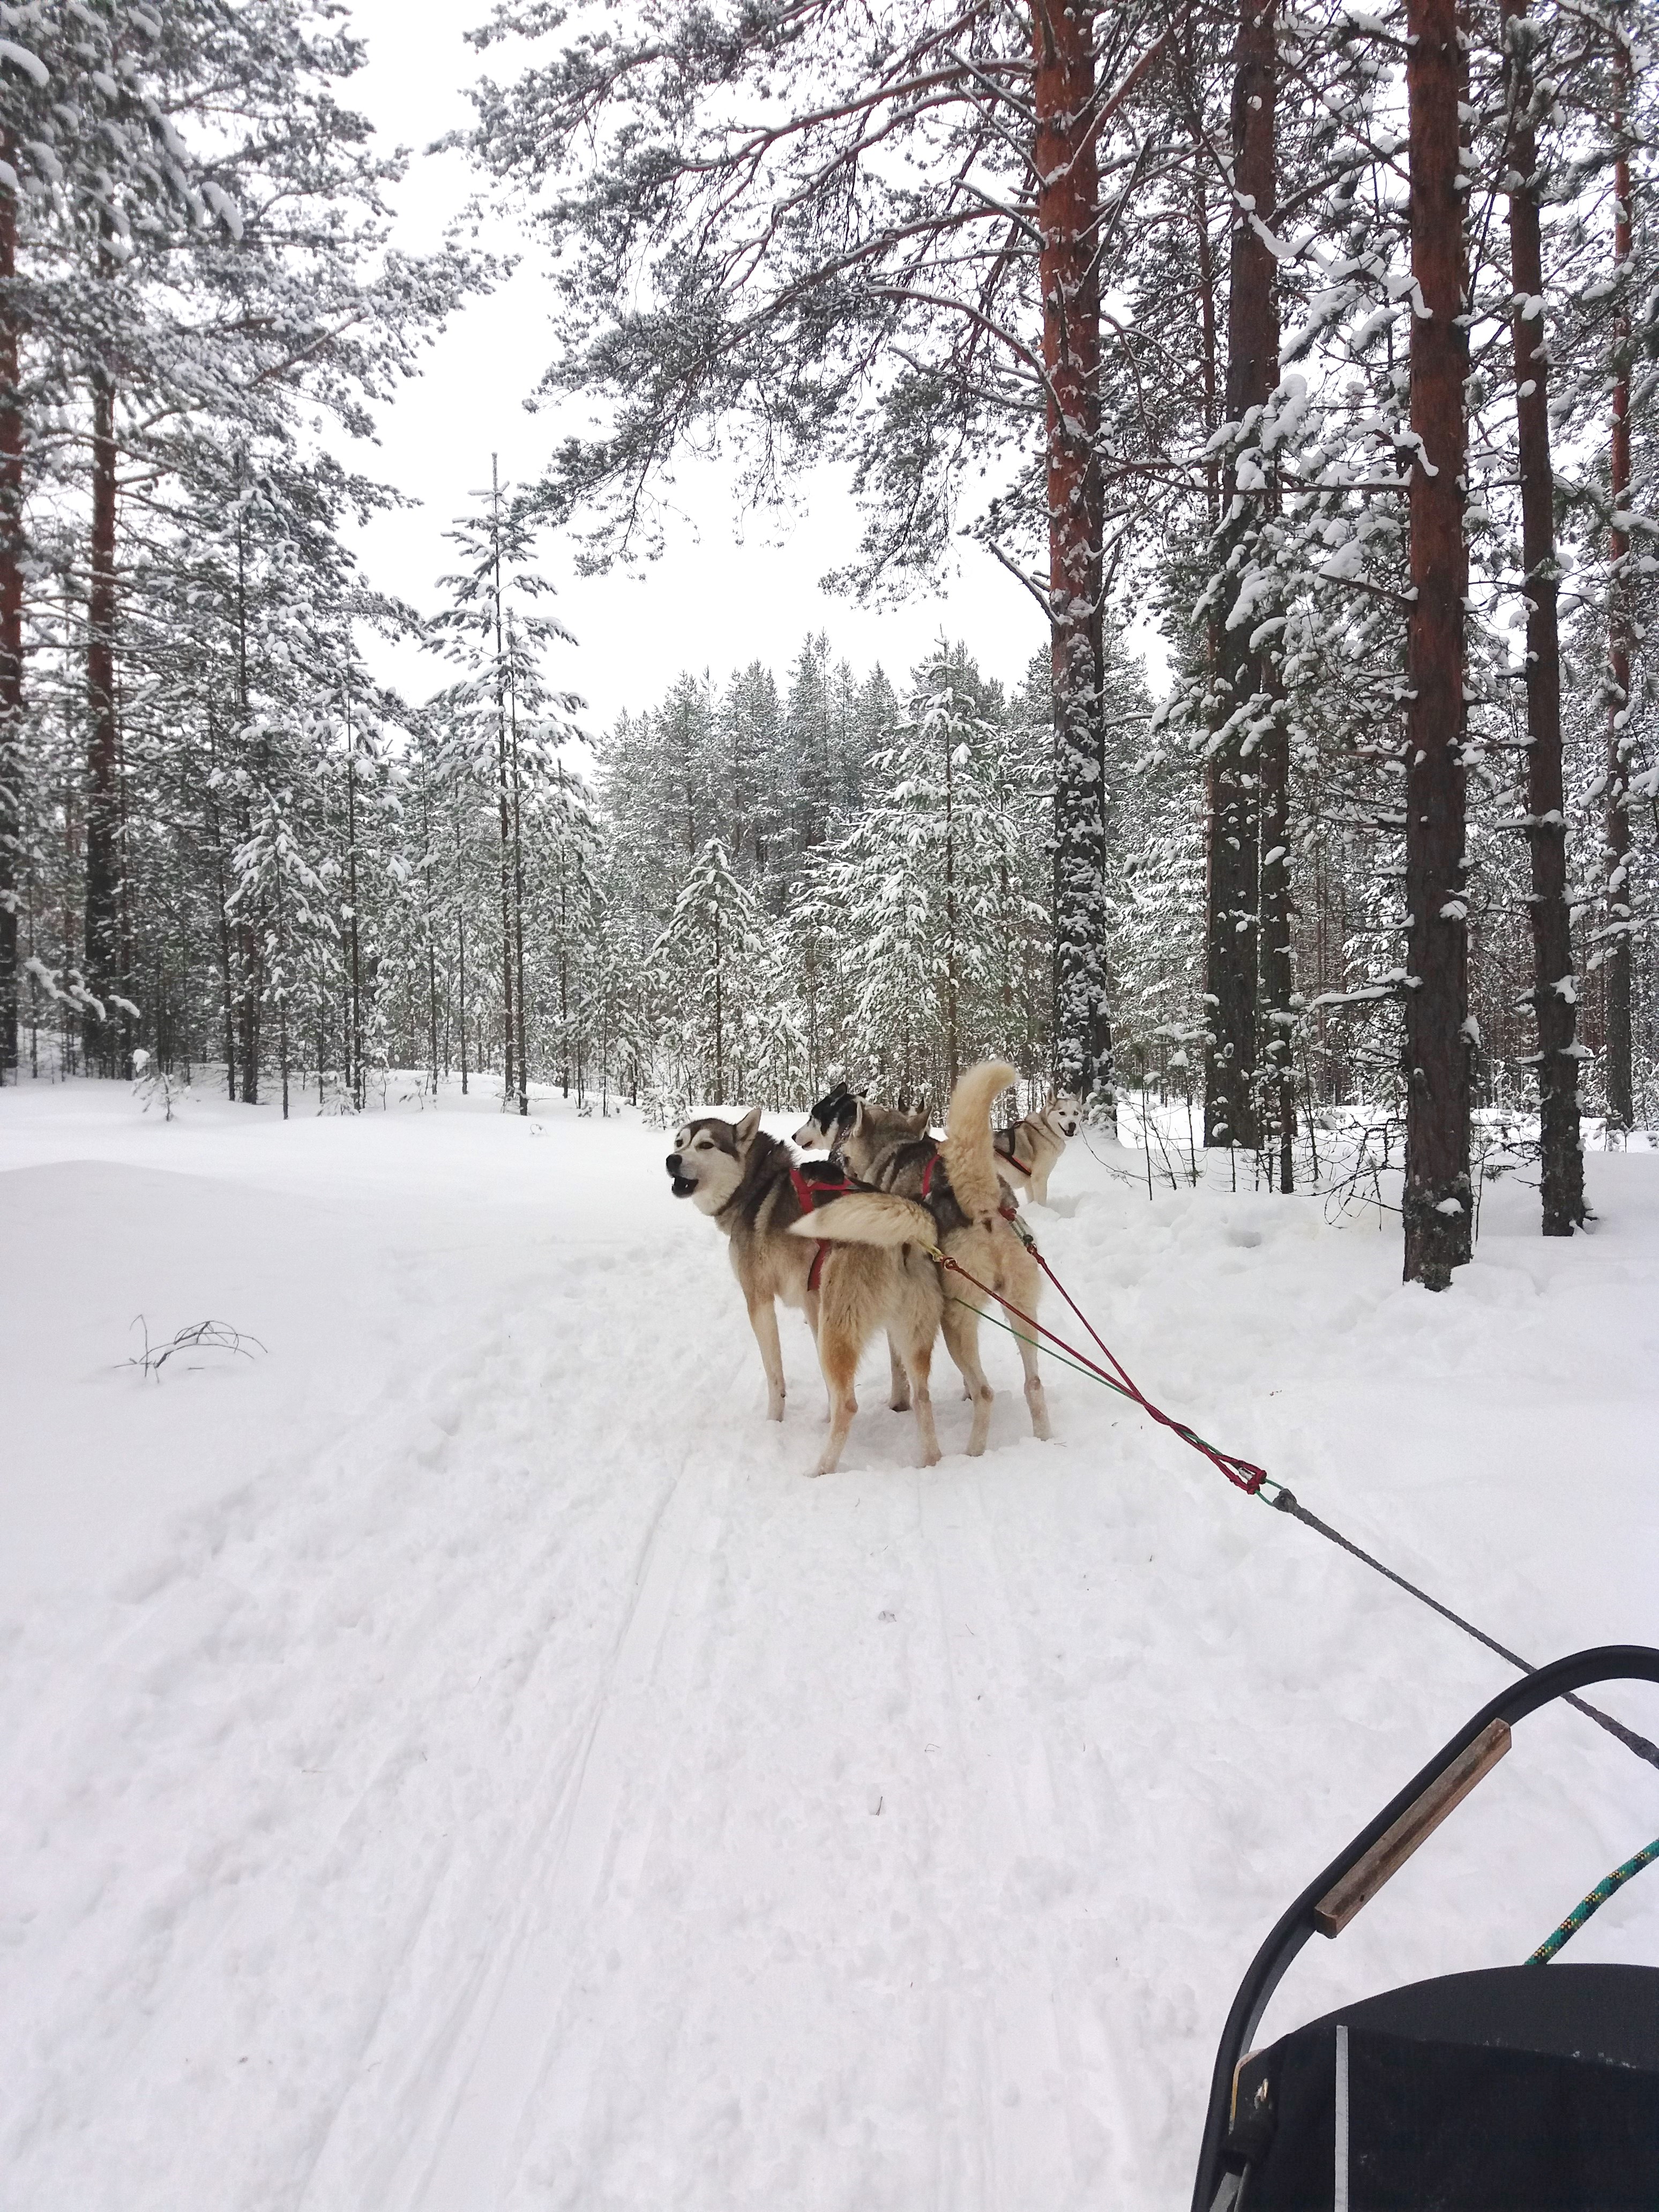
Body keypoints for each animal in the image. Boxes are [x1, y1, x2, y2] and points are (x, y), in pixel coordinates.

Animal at [668, 1106, 946, 1486]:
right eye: (679, 1141)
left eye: (706, 1145)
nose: (672, 1160)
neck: (756, 1185)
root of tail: (906, 1232)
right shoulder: (814, 1305)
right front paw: (822, 1416)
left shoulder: (759, 1300)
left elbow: (775, 1376)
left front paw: (774, 1421)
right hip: (904, 1337)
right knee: (922, 1397)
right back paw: (930, 1460)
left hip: (840, 1330)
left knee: (850, 1405)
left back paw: (821, 1469)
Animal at [796, 1062, 1052, 1460]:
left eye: (814, 1116)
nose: (796, 1136)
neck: (894, 1145)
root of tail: (986, 1204)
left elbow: (898, 1367)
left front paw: (899, 1402)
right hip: (1021, 1312)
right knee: (1034, 1383)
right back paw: (1042, 1439)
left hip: (955, 1319)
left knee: (986, 1391)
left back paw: (973, 1451)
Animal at [995, 1093, 1083, 1203]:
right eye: (1062, 1113)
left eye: (1075, 1113)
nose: (1073, 1125)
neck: (1044, 1132)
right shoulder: (1039, 1179)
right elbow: (1041, 1202)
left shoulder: (1029, 1182)